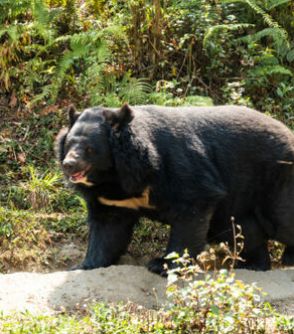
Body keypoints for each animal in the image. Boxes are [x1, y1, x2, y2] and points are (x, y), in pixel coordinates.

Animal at [55, 104, 294, 274]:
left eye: (89, 148)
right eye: (69, 144)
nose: (68, 164)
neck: (117, 176)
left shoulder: (178, 166)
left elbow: (192, 210)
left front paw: (162, 264)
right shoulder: (113, 199)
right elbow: (108, 228)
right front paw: (84, 265)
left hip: (275, 176)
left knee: (283, 219)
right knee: (242, 229)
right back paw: (253, 264)